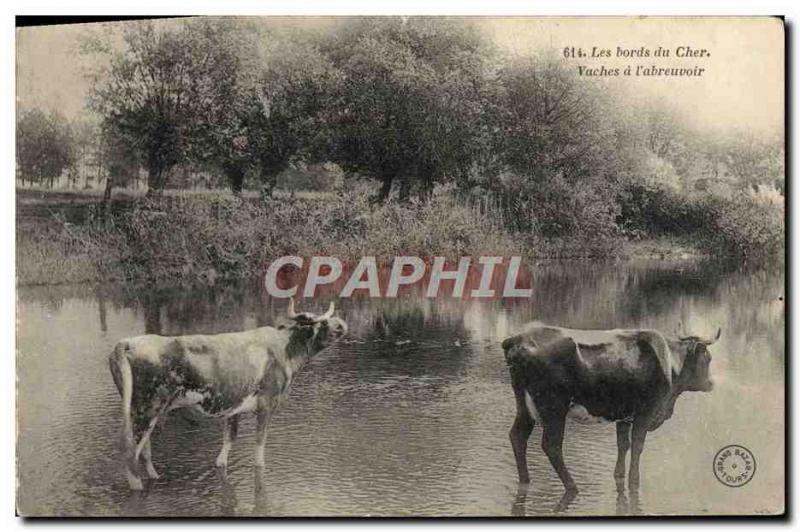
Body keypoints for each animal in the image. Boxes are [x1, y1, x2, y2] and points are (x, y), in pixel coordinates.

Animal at [108, 300, 346, 490]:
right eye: (324, 322)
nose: (342, 324)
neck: (285, 349)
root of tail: (127, 342)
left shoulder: (233, 407)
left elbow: (227, 444)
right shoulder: (267, 403)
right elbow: (259, 448)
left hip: (145, 412)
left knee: (144, 452)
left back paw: (155, 478)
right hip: (147, 409)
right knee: (130, 454)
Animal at [500, 322, 720, 496]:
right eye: (707, 358)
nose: (711, 383)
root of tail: (518, 339)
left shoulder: (624, 415)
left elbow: (623, 445)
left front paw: (619, 475)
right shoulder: (645, 413)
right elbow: (638, 446)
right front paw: (634, 480)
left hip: (524, 406)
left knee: (518, 436)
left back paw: (525, 480)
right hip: (554, 408)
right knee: (551, 446)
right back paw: (572, 486)